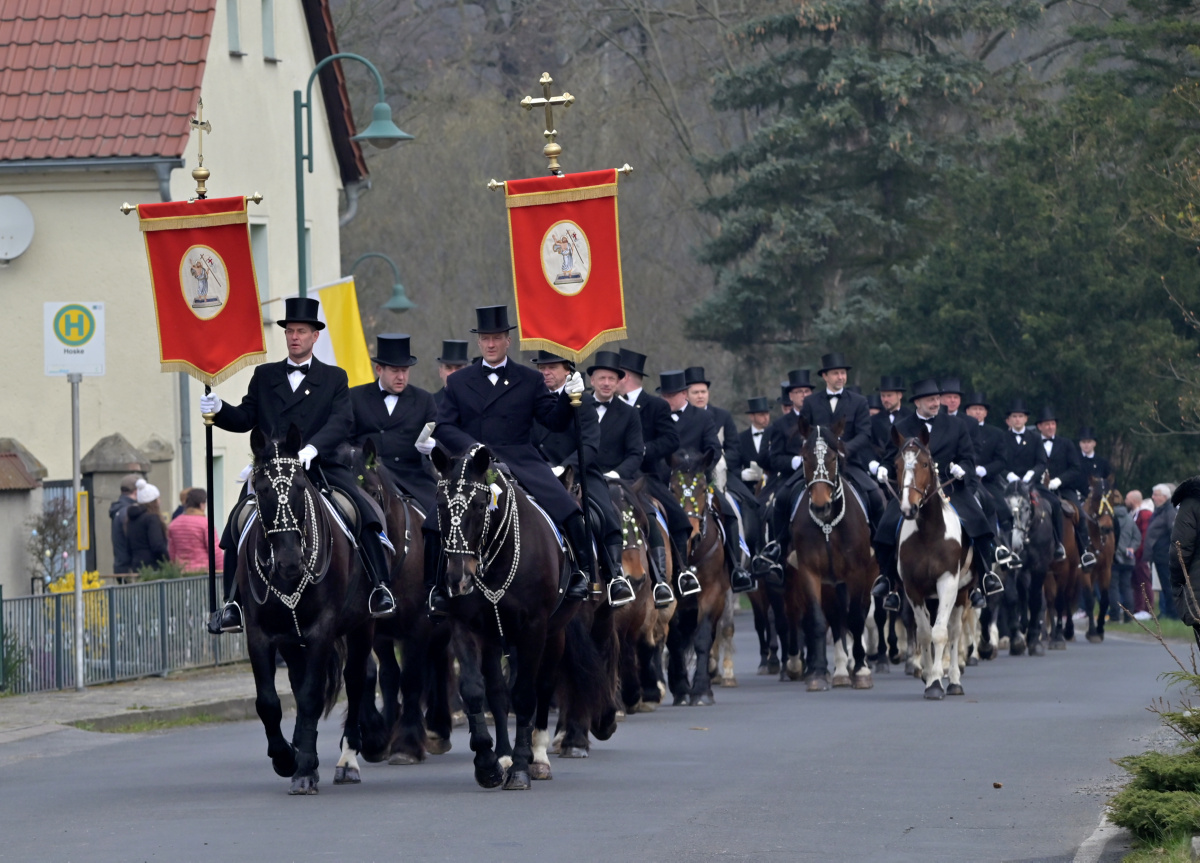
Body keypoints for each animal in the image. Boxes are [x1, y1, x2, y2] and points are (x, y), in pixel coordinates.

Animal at [240, 429, 374, 801]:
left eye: (301, 486)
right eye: (262, 488)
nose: (289, 562)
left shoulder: (321, 630)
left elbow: (313, 696)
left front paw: (302, 769)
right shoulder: (260, 634)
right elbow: (269, 702)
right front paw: (287, 758)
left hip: (361, 626)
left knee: (356, 680)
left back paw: (347, 760)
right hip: (291, 641)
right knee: (299, 687)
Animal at [787, 422, 883, 691]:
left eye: (832, 458)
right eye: (805, 457)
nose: (821, 505)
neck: (829, 524)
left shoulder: (857, 573)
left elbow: (857, 618)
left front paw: (861, 670)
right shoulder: (810, 572)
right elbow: (819, 619)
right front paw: (819, 674)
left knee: (857, 614)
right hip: (831, 583)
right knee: (835, 616)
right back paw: (839, 670)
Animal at [897, 429, 969, 700]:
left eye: (925, 464)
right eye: (896, 465)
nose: (909, 508)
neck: (929, 533)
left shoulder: (948, 582)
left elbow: (940, 633)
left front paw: (939, 681)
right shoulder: (913, 588)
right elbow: (924, 633)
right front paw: (930, 678)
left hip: (962, 592)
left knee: (954, 630)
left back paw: (955, 679)